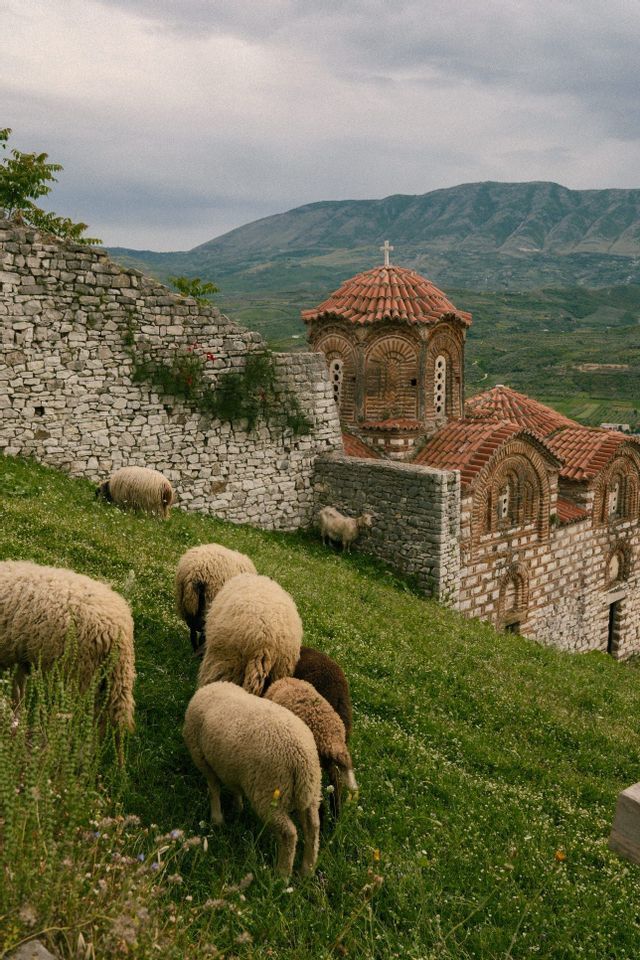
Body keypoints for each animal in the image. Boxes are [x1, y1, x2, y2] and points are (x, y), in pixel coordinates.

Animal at [183, 682, 321, 877]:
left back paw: (282, 874)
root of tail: (301, 759)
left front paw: (217, 819)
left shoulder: (202, 758)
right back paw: (307, 869)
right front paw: (237, 808)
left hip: (269, 793)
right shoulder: (232, 768)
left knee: (289, 834)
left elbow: (214, 789)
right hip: (312, 793)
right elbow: (234, 787)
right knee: (313, 828)